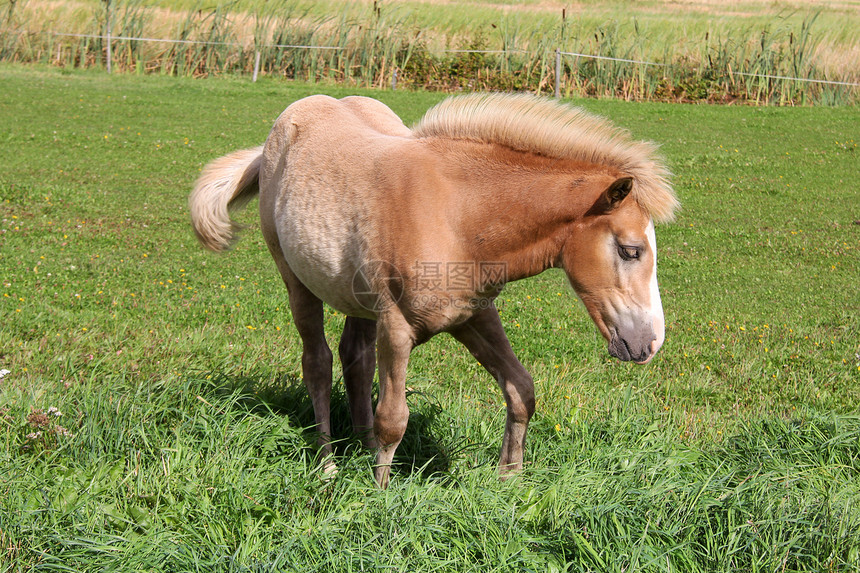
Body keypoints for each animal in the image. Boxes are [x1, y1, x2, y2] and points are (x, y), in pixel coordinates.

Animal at [190, 91, 680, 484]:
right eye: (631, 250)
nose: (650, 343)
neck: (458, 215)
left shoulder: (473, 316)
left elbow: (521, 389)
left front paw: (510, 480)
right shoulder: (397, 327)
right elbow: (394, 419)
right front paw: (379, 499)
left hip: (358, 300)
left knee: (355, 358)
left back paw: (361, 446)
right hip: (298, 283)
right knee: (318, 363)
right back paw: (328, 464)